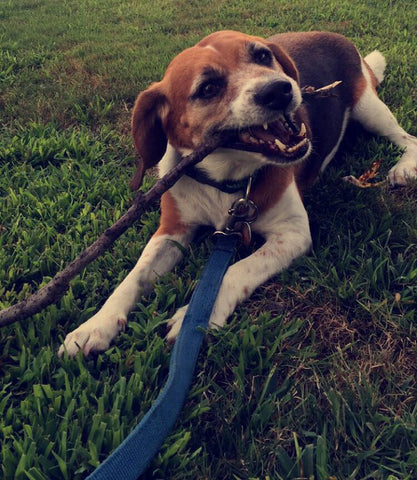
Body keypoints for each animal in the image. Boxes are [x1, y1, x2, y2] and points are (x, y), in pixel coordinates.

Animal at [57, 28, 416, 354]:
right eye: (208, 88)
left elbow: (235, 270)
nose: (280, 90)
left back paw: (404, 167)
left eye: (262, 56)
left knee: (407, 138)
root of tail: (334, 34)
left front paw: (196, 318)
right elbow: (134, 276)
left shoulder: (293, 234)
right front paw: (96, 325)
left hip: (369, 109)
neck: (227, 182)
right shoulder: (171, 231)